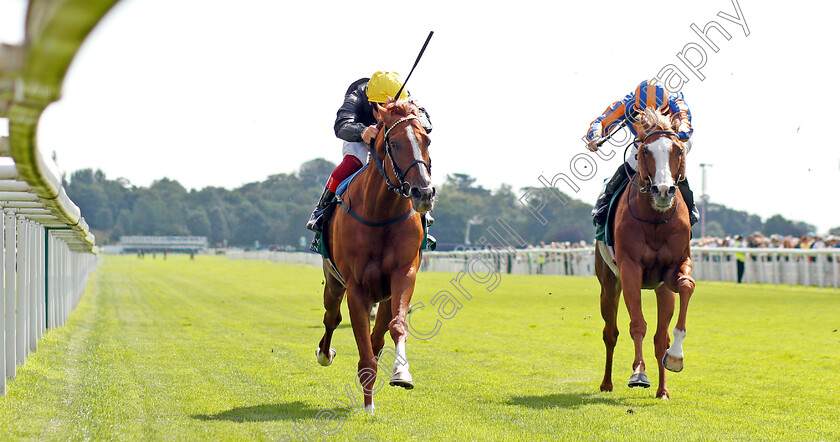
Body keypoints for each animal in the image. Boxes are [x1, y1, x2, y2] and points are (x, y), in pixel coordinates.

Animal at [314, 99, 434, 414]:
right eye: (394, 143)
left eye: (426, 140)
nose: (424, 193)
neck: (381, 214)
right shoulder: (357, 288)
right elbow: (365, 352)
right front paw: (368, 407)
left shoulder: (403, 275)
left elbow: (395, 327)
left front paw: (402, 374)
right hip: (333, 281)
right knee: (332, 317)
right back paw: (324, 353)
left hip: (385, 295)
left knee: (378, 336)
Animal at [592, 108, 700, 400]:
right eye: (644, 152)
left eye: (678, 150)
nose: (663, 190)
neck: (655, 219)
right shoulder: (630, 269)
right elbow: (637, 324)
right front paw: (639, 373)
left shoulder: (673, 269)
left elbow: (687, 285)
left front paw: (676, 357)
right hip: (609, 283)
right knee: (610, 332)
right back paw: (607, 383)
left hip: (661, 290)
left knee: (660, 337)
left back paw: (663, 389)